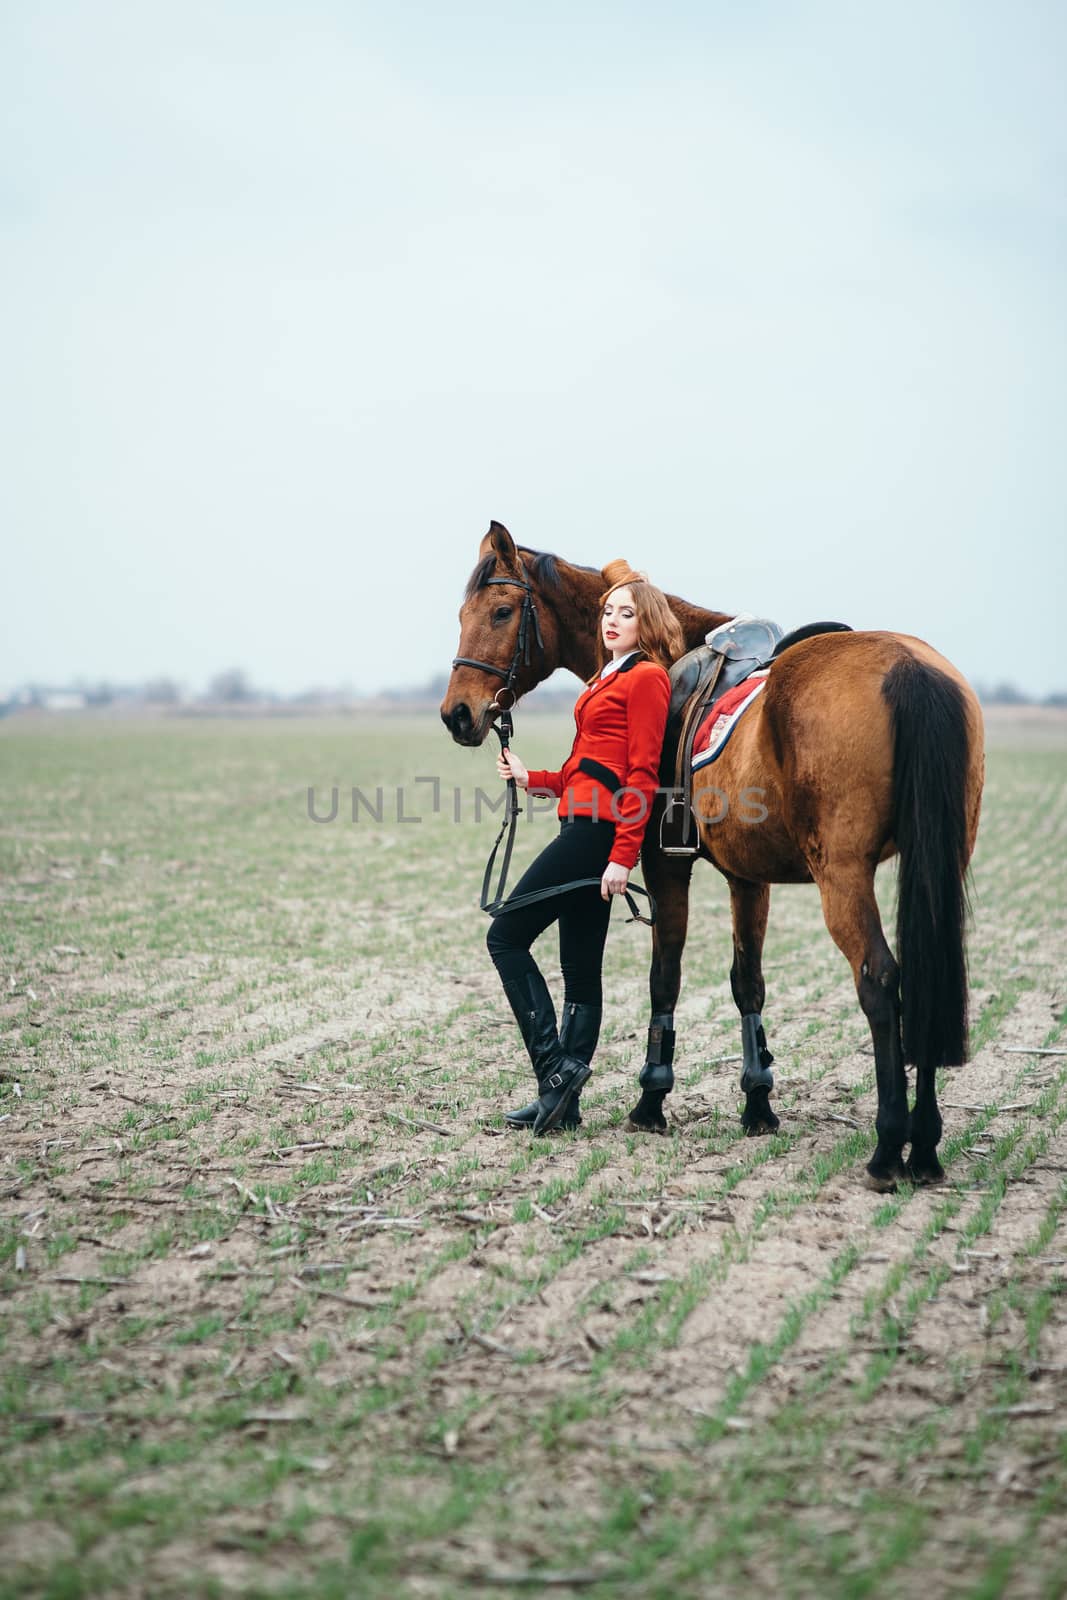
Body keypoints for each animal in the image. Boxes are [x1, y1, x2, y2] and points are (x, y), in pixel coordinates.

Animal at [441, 524, 985, 1190]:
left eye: (500, 611)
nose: (457, 714)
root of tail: (909, 667)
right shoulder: (750, 879)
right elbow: (747, 983)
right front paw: (758, 1104)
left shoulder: (664, 865)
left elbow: (665, 976)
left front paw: (650, 1101)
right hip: (936, 864)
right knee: (927, 982)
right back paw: (926, 1147)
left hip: (842, 876)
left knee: (880, 981)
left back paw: (888, 1148)